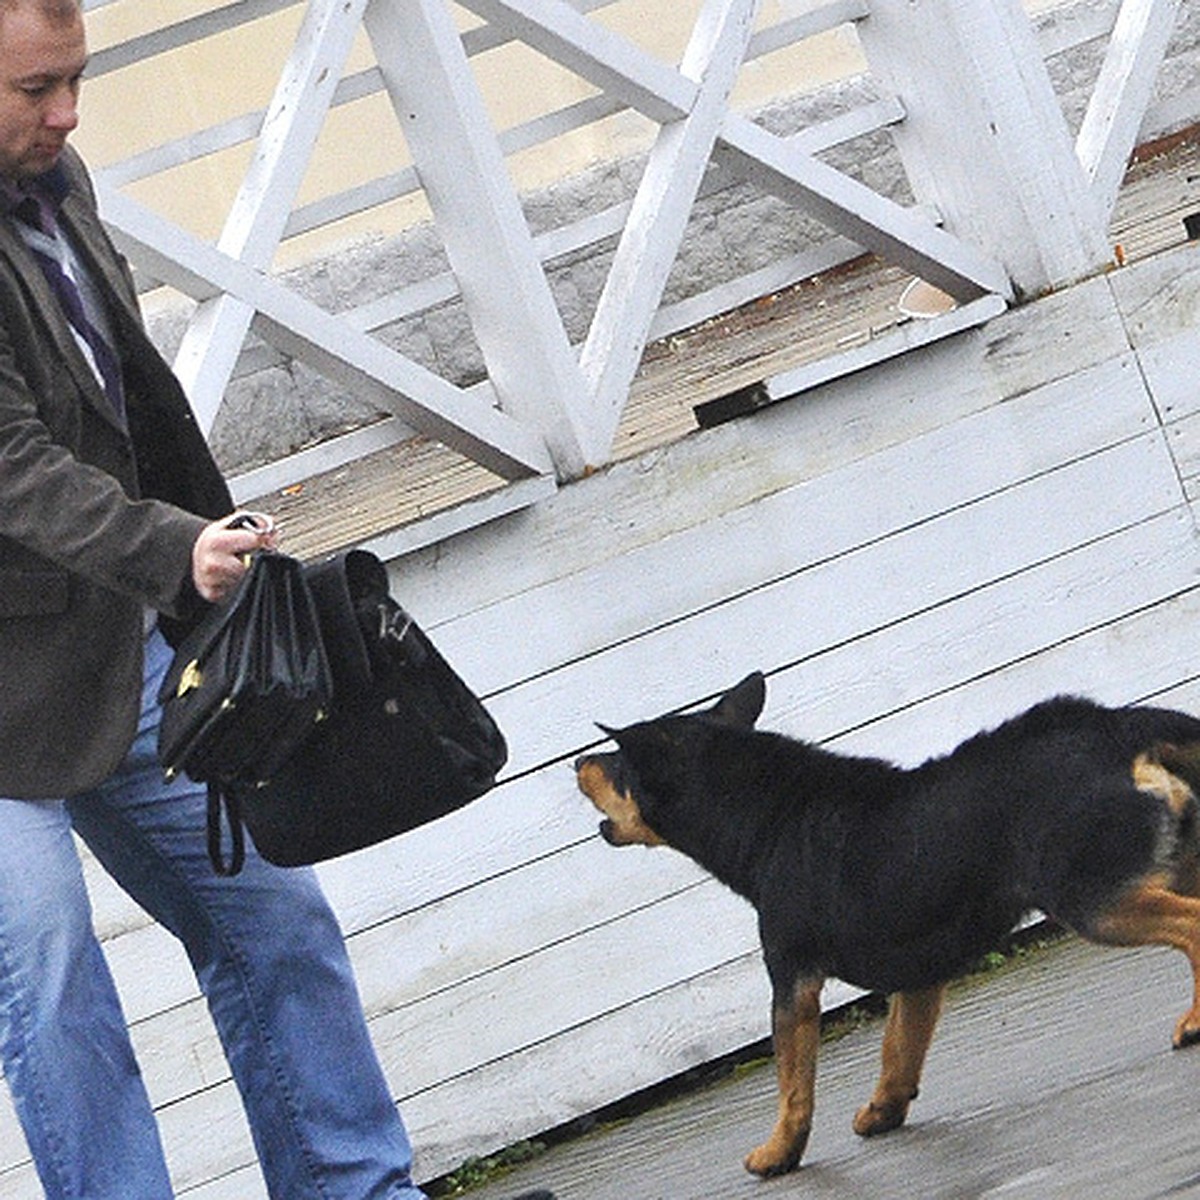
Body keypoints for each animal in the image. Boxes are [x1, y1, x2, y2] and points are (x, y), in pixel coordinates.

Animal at [573, 676, 1200, 1180]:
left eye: (618, 763)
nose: (577, 763)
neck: (767, 815)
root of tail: (1115, 727)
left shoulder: (791, 980)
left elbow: (793, 1086)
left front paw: (778, 1154)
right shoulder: (918, 972)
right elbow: (899, 1048)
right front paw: (884, 1112)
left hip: (1094, 900)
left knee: (1192, 930)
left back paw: (1192, 1022)